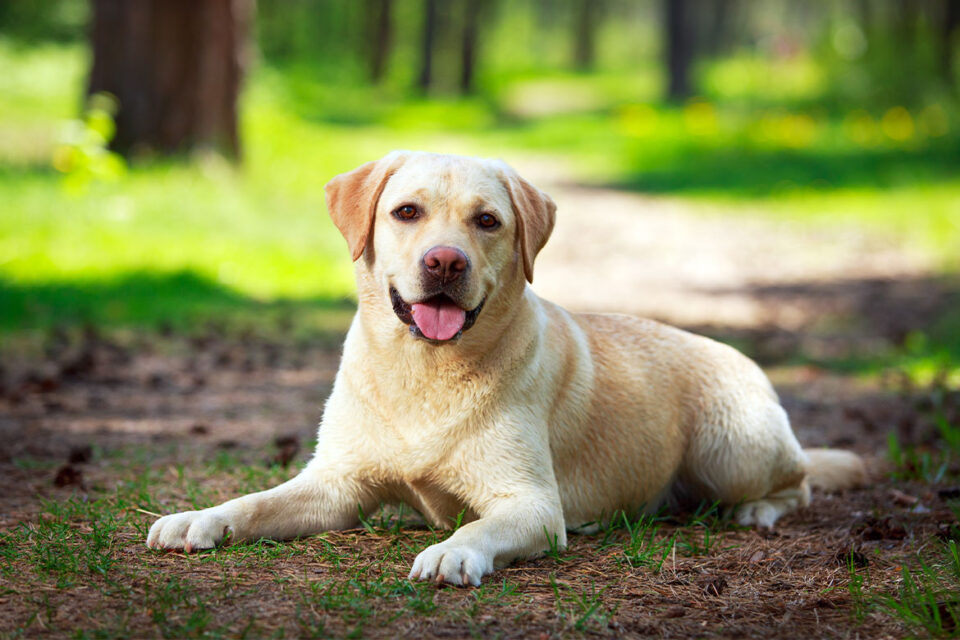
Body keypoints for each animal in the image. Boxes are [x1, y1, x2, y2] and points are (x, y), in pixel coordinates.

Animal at [146, 151, 868, 584]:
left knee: (800, 482)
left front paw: (452, 549)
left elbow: (480, 523)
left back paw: (759, 511)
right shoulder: (335, 484)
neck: (424, 371)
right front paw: (198, 518)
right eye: (406, 212)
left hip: (732, 450)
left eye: (487, 221)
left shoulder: (530, 503)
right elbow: (256, 501)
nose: (444, 261)